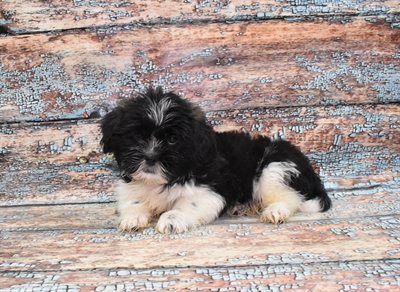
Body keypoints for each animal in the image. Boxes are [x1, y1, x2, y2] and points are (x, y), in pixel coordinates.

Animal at [101, 86, 332, 235]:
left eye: (173, 139)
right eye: (138, 136)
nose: (150, 157)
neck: (162, 180)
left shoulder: (211, 190)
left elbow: (189, 204)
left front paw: (172, 219)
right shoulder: (132, 185)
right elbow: (133, 201)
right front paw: (133, 217)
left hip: (274, 168)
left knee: (291, 198)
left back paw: (275, 211)